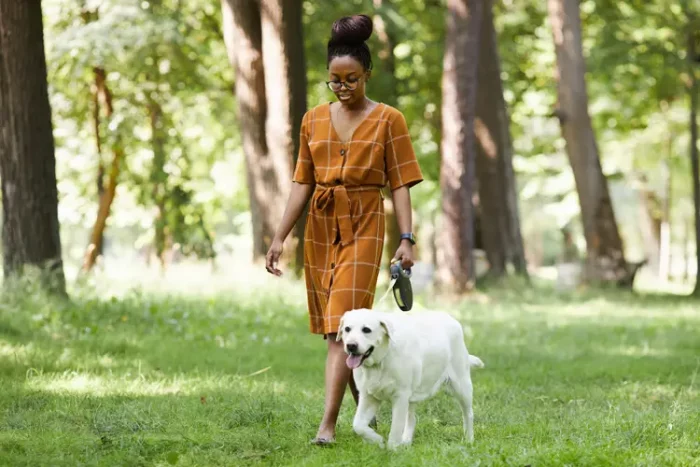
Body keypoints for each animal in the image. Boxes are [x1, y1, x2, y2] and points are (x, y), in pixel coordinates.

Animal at [338, 308, 482, 450]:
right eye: (347, 329)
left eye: (366, 330)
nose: (351, 345)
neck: (380, 362)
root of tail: (451, 318)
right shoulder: (369, 396)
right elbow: (358, 425)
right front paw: (377, 439)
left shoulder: (400, 396)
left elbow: (395, 429)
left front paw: (392, 450)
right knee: (412, 418)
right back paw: (406, 442)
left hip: (462, 386)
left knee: (468, 414)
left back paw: (469, 440)